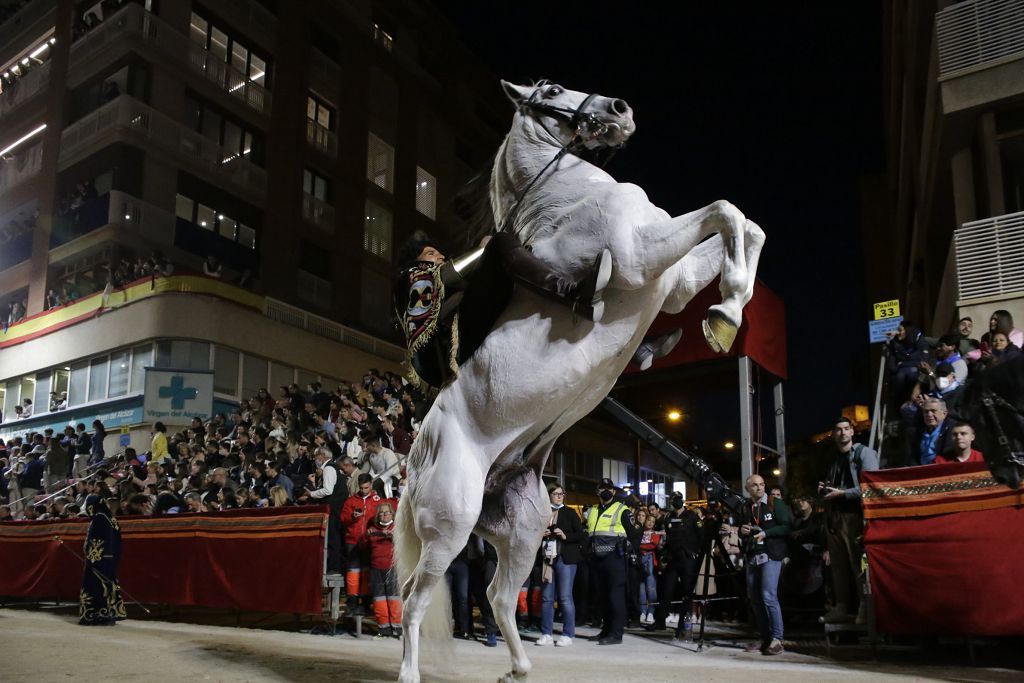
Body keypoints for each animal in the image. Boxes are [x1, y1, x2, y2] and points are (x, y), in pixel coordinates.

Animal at [395, 81, 765, 683]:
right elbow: (724, 212)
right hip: (449, 527)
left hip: (523, 530)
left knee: (497, 596)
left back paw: (519, 668)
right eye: (549, 89)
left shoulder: (677, 281)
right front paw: (726, 312)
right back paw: (410, 672)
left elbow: (742, 223)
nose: (620, 111)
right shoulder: (640, 259)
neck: (566, 201)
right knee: (414, 598)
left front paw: (725, 314)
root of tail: (414, 460)